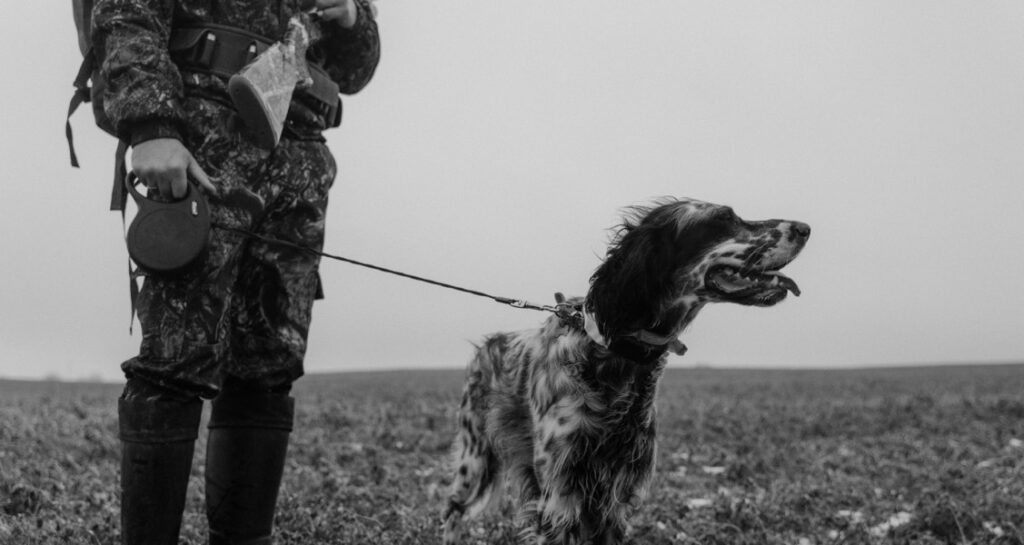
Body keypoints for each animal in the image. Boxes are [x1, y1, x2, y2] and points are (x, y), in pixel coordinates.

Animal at [440, 197, 806, 540]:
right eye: (723, 218)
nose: (805, 228)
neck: (615, 359)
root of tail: (488, 344)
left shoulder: (615, 495)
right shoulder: (559, 496)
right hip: (474, 461)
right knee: (451, 512)